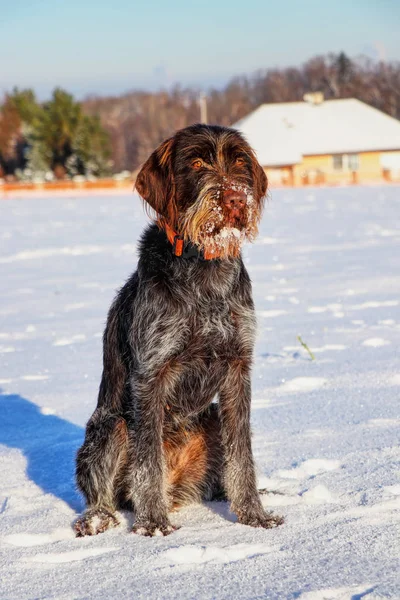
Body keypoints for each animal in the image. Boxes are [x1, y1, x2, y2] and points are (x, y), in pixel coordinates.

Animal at [73, 124, 282, 536]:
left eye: (240, 162)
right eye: (197, 163)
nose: (235, 199)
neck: (205, 269)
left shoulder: (237, 369)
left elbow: (242, 454)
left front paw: (254, 514)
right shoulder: (151, 374)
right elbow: (149, 460)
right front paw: (153, 523)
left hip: (212, 417)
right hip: (109, 427)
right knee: (104, 493)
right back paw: (98, 519)